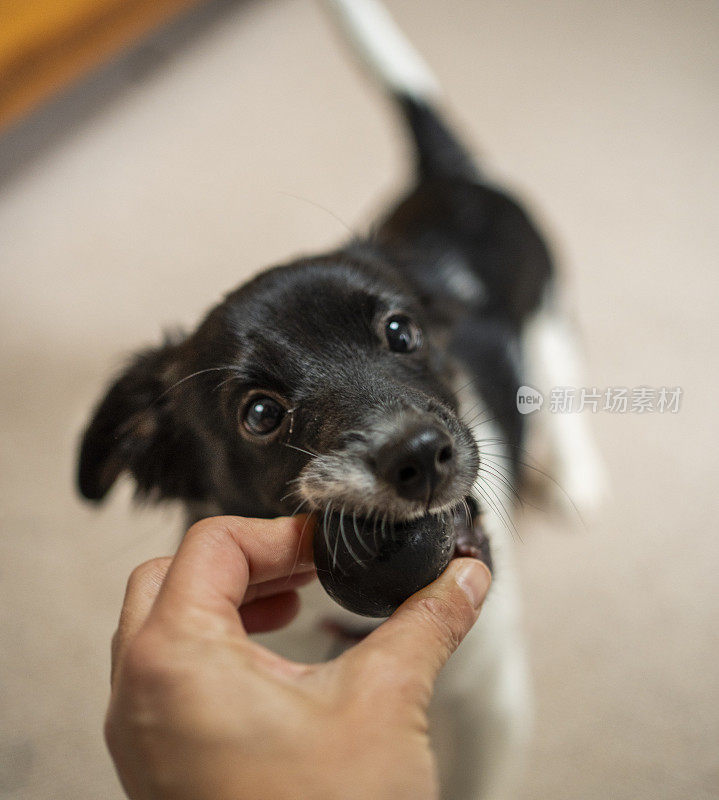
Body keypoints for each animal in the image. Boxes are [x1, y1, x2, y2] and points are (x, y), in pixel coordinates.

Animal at [79, 3, 608, 796]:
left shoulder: (494, 704)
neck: (361, 633)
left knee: (562, 372)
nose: (420, 455)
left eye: (400, 331)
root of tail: (452, 175)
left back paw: (580, 473)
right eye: (259, 414)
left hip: (545, 303)